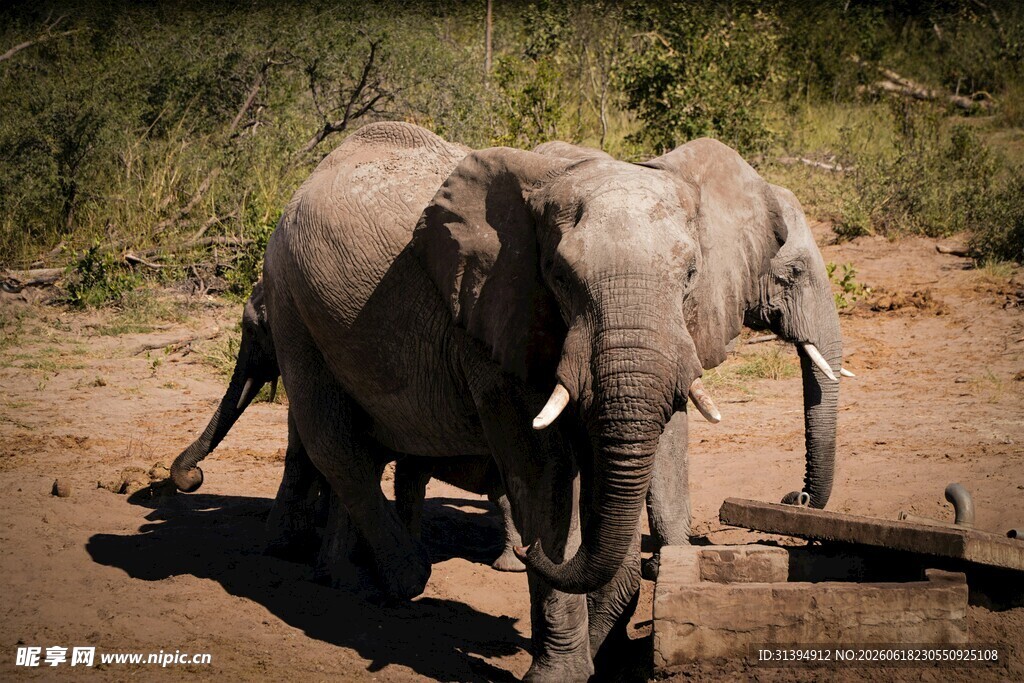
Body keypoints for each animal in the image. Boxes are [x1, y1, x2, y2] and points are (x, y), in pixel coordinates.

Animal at [235, 120, 839, 680]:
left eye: (690, 274)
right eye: (560, 277)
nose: (796, 498)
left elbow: (646, 454)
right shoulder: (497, 314)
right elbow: (542, 473)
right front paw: (560, 673)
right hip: (288, 297)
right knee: (334, 442)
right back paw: (399, 579)